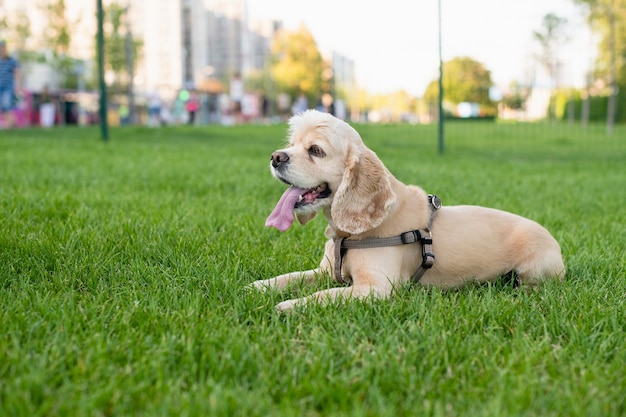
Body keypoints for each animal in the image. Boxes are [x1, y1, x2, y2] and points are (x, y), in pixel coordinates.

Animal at [250, 109, 564, 310]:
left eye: (315, 150)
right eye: (291, 144)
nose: (275, 157)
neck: (348, 236)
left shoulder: (374, 289)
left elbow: (323, 296)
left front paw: (289, 305)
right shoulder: (324, 271)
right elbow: (291, 277)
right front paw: (259, 286)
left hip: (533, 270)